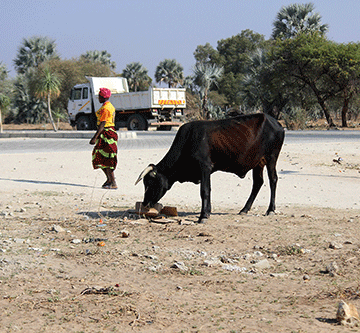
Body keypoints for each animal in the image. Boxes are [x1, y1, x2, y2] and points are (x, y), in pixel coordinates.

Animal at [135, 112, 284, 223]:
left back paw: (270, 209)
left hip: (271, 158)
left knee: (273, 180)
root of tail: (276, 123)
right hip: (258, 163)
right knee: (258, 182)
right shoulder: (208, 170)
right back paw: (244, 209)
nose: (145, 203)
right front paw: (208, 211)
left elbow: (204, 191)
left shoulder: (204, 167)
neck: (188, 140)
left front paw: (203, 216)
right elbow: (209, 190)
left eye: (150, 183)